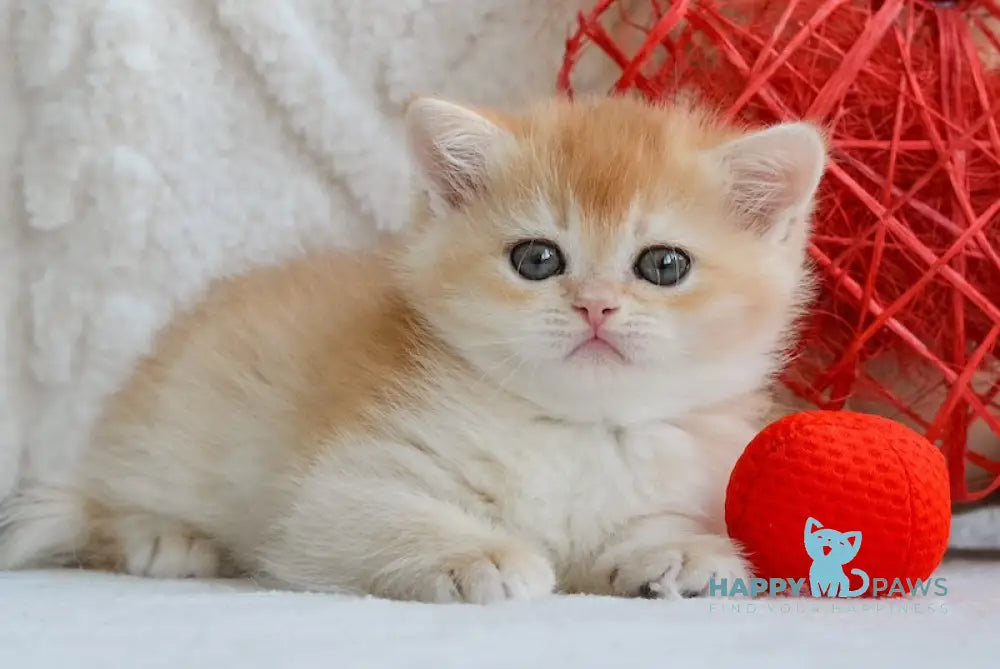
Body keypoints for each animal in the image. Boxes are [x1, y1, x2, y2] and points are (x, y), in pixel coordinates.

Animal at [1, 94, 828, 600]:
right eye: (538, 259)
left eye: (663, 265)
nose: (596, 305)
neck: (578, 427)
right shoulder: (335, 490)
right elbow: (371, 516)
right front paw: (480, 554)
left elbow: (649, 528)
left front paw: (683, 553)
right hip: (165, 428)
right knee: (96, 507)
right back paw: (164, 537)